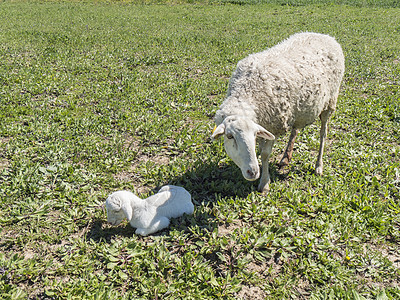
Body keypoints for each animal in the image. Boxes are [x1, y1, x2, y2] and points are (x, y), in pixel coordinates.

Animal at [211, 32, 346, 192]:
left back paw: (318, 166)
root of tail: (326, 36)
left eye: (253, 135)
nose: (253, 172)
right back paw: (285, 157)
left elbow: (264, 154)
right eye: (230, 136)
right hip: (298, 109)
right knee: (295, 129)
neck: (246, 93)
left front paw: (264, 183)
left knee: (323, 134)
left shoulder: (273, 125)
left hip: (330, 101)